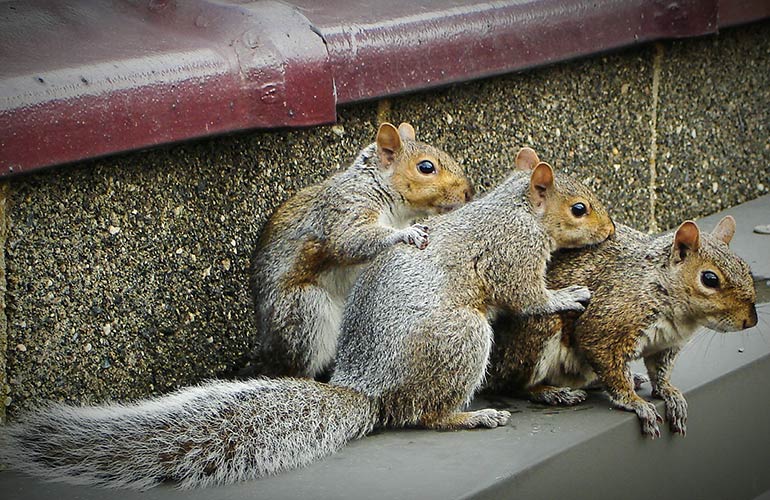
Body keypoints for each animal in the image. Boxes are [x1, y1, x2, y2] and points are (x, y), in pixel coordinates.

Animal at [0, 147, 614, 489]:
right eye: (578, 208)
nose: (609, 230)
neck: (517, 208)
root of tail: (367, 389)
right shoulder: (511, 254)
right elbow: (526, 297)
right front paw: (566, 295)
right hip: (462, 338)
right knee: (424, 413)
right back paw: (471, 416)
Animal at [250, 121, 473, 378]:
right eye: (426, 167)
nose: (469, 191)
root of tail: (269, 353)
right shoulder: (347, 207)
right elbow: (349, 239)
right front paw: (408, 234)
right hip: (305, 309)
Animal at [484, 216, 758, 437]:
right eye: (709, 279)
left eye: (746, 267)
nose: (751, 320)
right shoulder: (607, 327)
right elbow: (611, 368)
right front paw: (635, 402)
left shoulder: (666, 345)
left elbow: (660, 372)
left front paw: (669, 392)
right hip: (537, 333)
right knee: (514, 385)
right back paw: (553, 392)